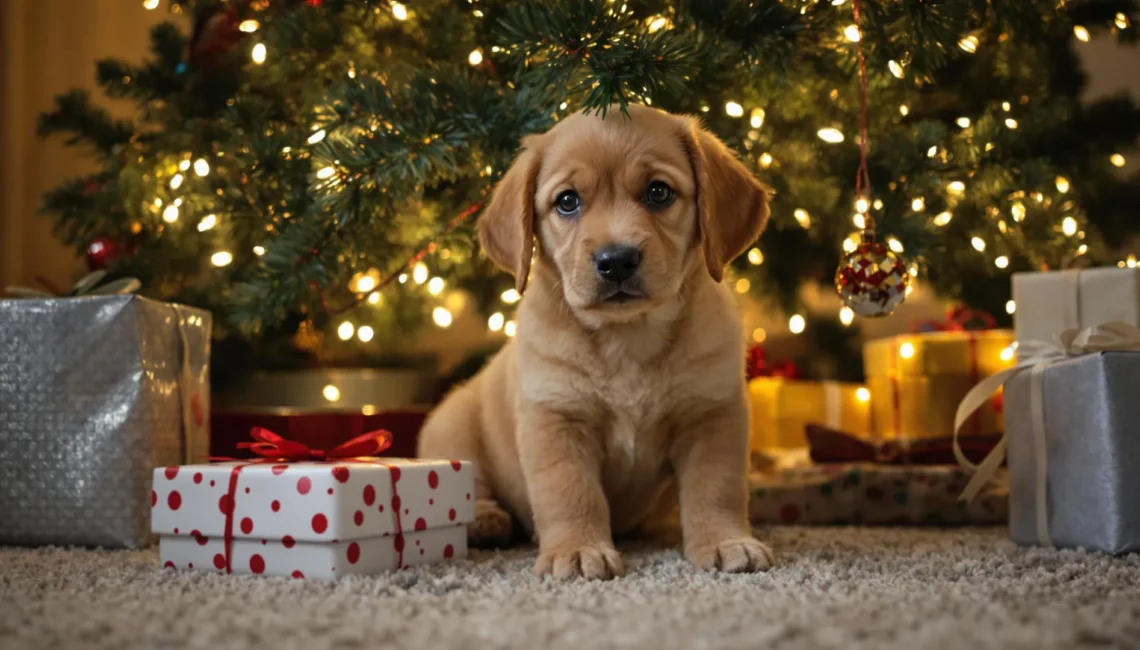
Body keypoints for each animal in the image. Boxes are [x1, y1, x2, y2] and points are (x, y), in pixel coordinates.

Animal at [419, 102, 775, 577]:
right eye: (567, 201)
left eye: (658, 192)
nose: (617, 260)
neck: (629, 339)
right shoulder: (556, 418)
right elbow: (570, 491)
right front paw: (577, 550)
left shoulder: (713, 414)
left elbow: (716, 486)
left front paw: (725, 541)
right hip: (452, 424)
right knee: (471, 482)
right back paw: (486, 520)